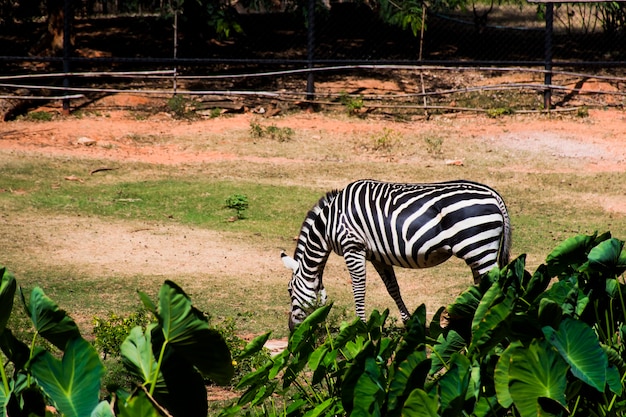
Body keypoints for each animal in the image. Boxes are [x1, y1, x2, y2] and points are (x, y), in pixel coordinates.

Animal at [280, 177, 510, 330]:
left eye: (290, 290)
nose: (291, 328)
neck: (328, 223)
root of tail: (493, 194)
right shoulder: (377, 255)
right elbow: (393, 288)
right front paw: (409, 323)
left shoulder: (353, 247)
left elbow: (359, 289)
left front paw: (360, 328)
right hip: (479, 251)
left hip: (479, 248)